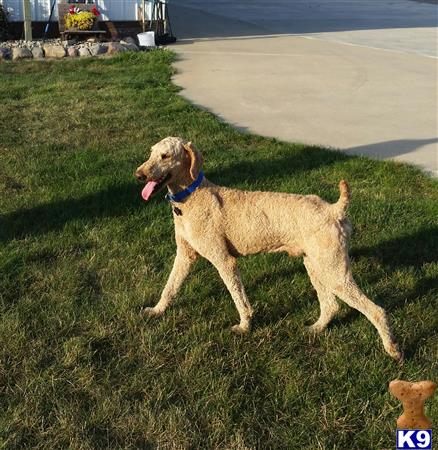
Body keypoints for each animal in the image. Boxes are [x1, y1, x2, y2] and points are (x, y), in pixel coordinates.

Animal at [135, 135, 402, 360]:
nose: (138, 175)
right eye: (151, 153)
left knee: (376, 310)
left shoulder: (224, 260)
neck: (192, 197)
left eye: (165, 156)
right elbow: (170, 287)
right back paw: (316, 328)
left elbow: (239, 298)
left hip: (333, 271)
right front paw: (157, 310)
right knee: (331, 305)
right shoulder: (184, 255)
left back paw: (393, 350)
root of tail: (334, 209)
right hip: (316, 265)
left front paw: (245, 326)